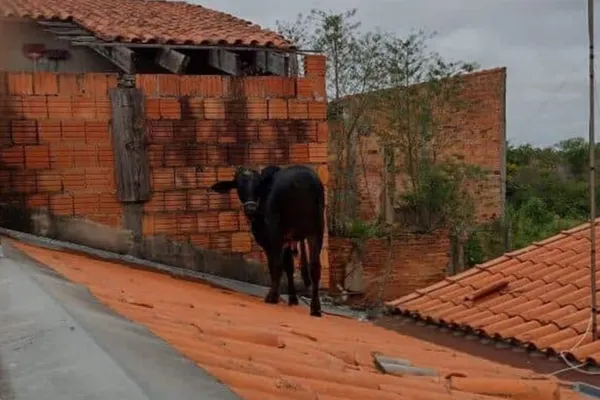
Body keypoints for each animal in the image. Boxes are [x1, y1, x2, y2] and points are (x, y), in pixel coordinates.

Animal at [209, 164, 326, 318]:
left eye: (257, 184)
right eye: (239, 185)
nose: (250, 208)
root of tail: (303, 181)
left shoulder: (269, 238)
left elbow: (275, 265)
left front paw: (279, 295)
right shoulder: (287, 240)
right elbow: (289, 266)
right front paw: (293, 298)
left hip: (276, 230)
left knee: (277, 264)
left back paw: (272, 297)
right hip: (317, 231)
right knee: (315, 267)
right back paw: (315, 308)